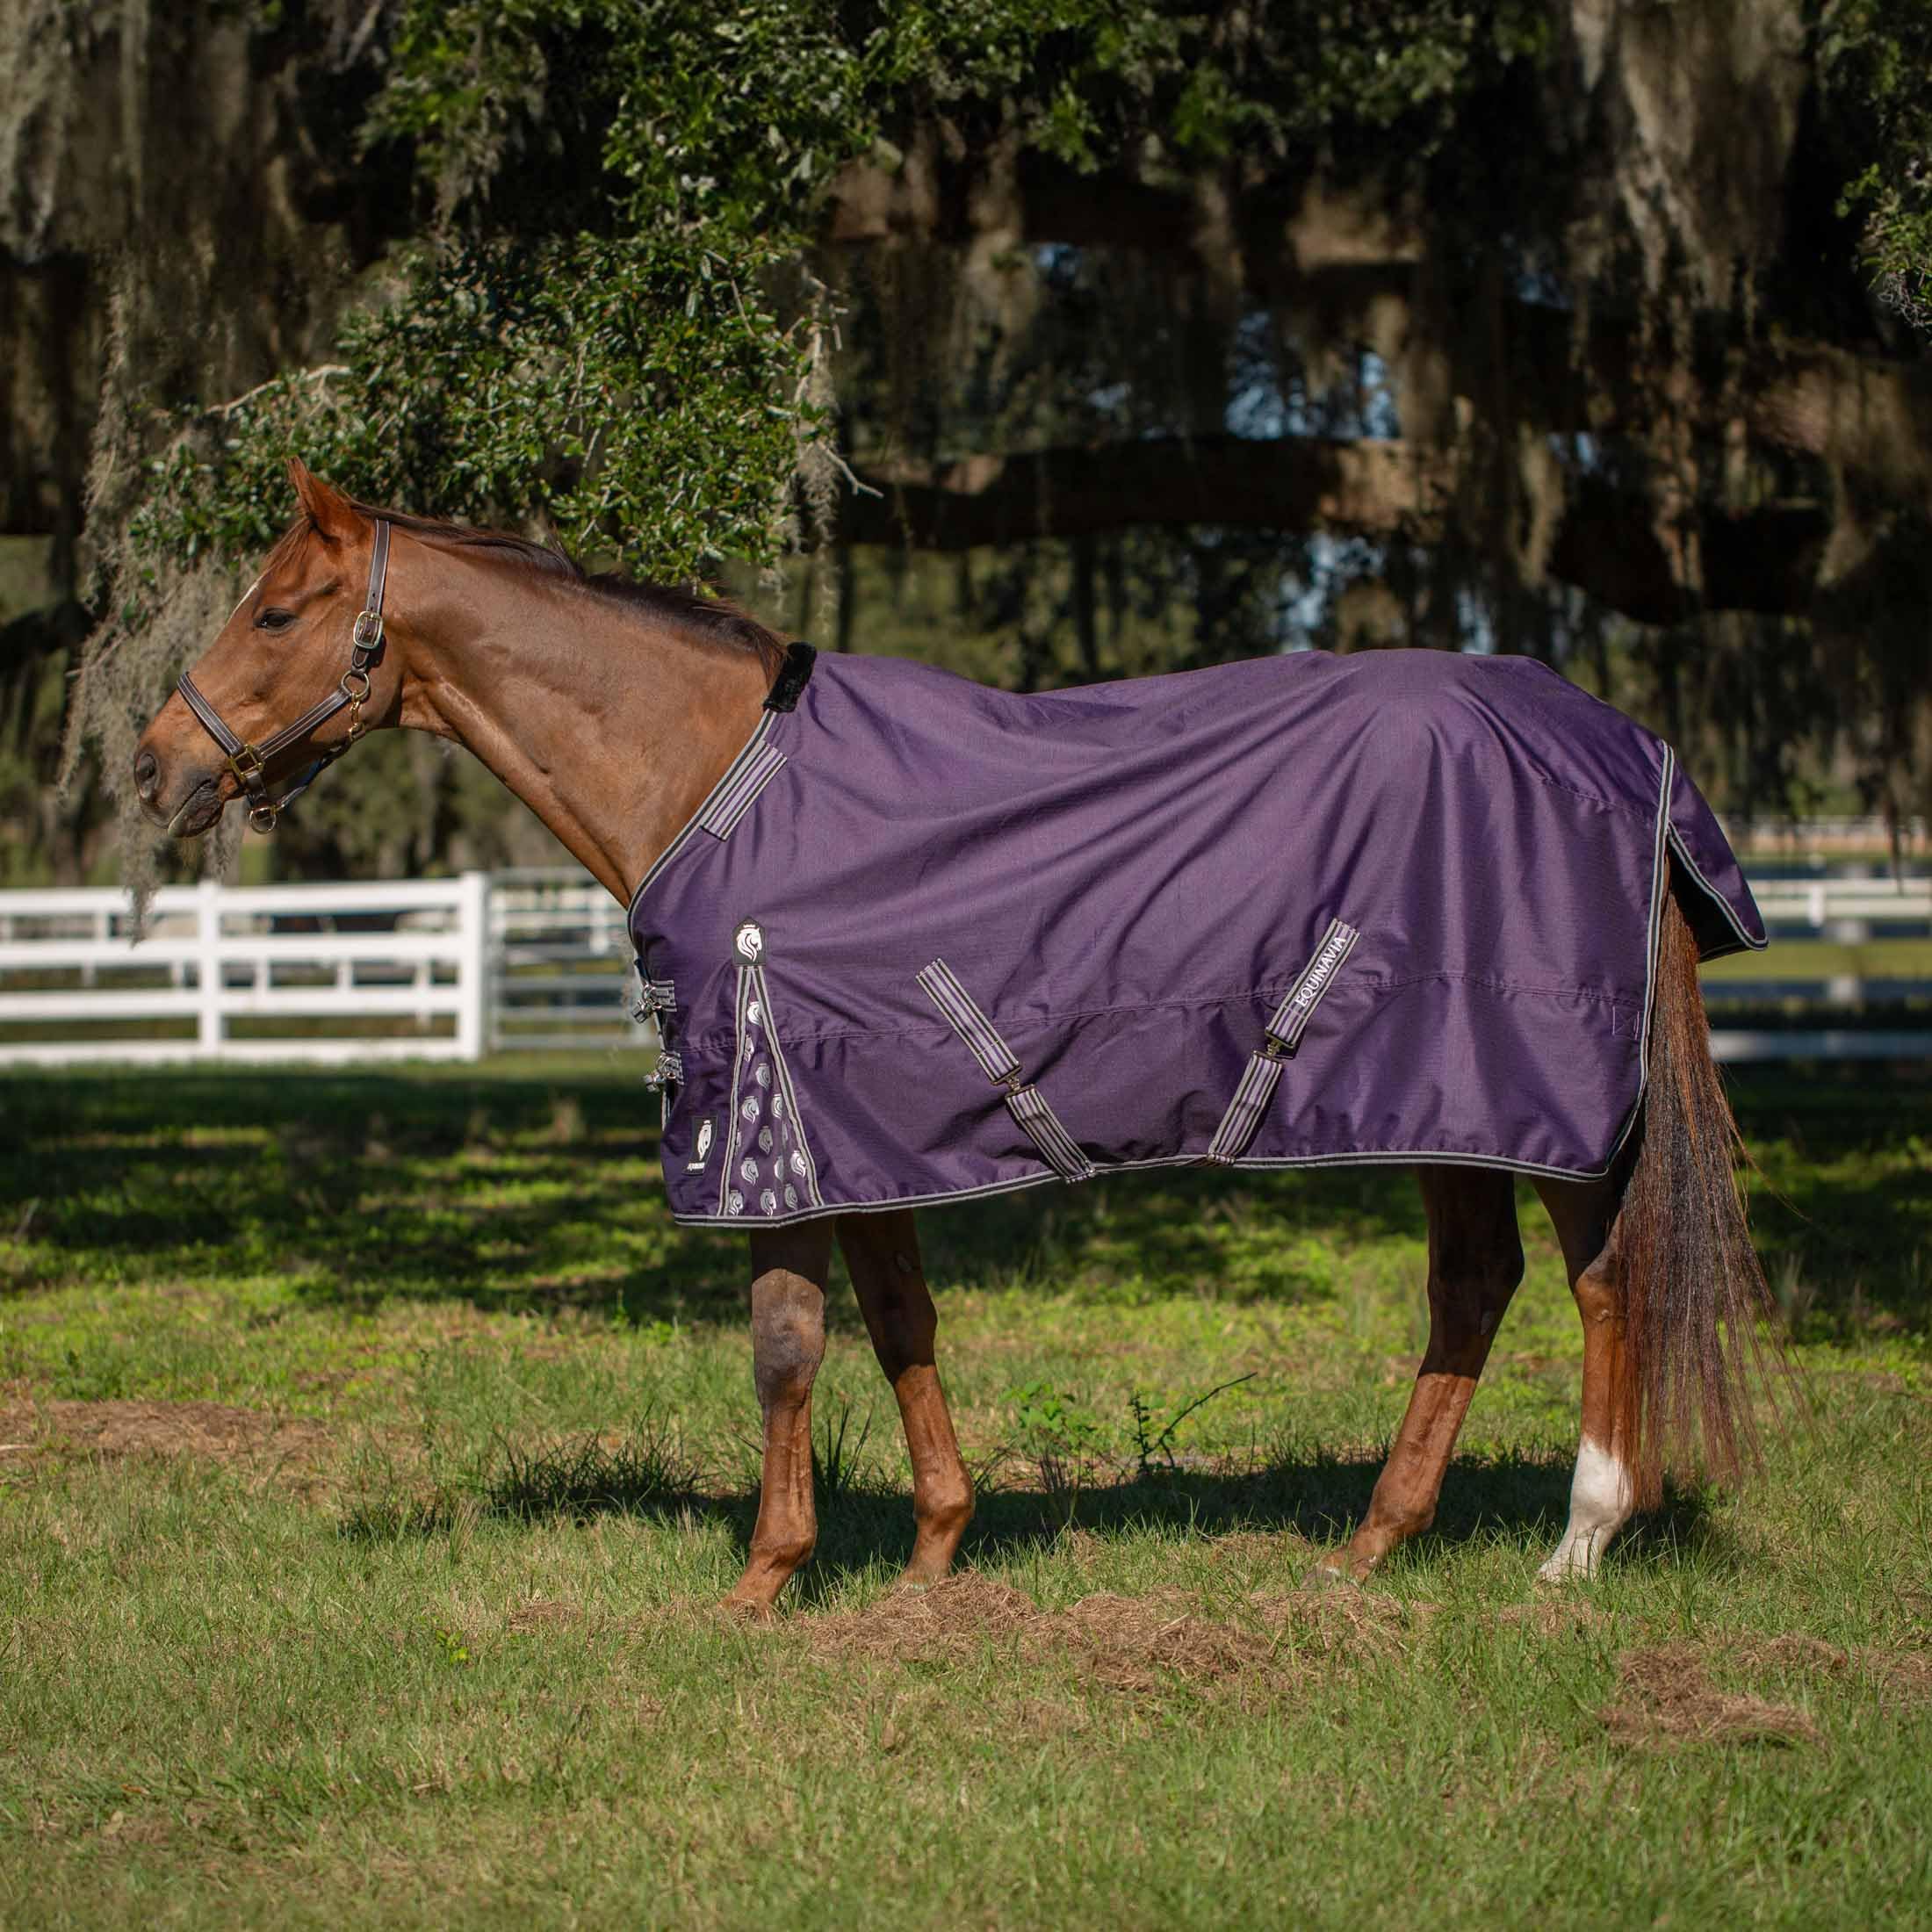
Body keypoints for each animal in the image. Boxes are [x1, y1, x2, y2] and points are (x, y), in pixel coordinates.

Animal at [132, 460, 1779, 1615]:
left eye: (276, 611)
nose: (154, 768)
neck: (718, 779)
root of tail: (1618, 744)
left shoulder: (770, 1134)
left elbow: (786, 1348)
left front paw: (762, 1582)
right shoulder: (860, 1132)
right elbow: (901, 1322)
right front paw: (932, 1556)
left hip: (1525, 1095)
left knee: (1600, 1284)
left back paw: (1577, 1544)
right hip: (1451, 1103)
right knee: (1477, 1289)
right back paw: (1375, 1544)